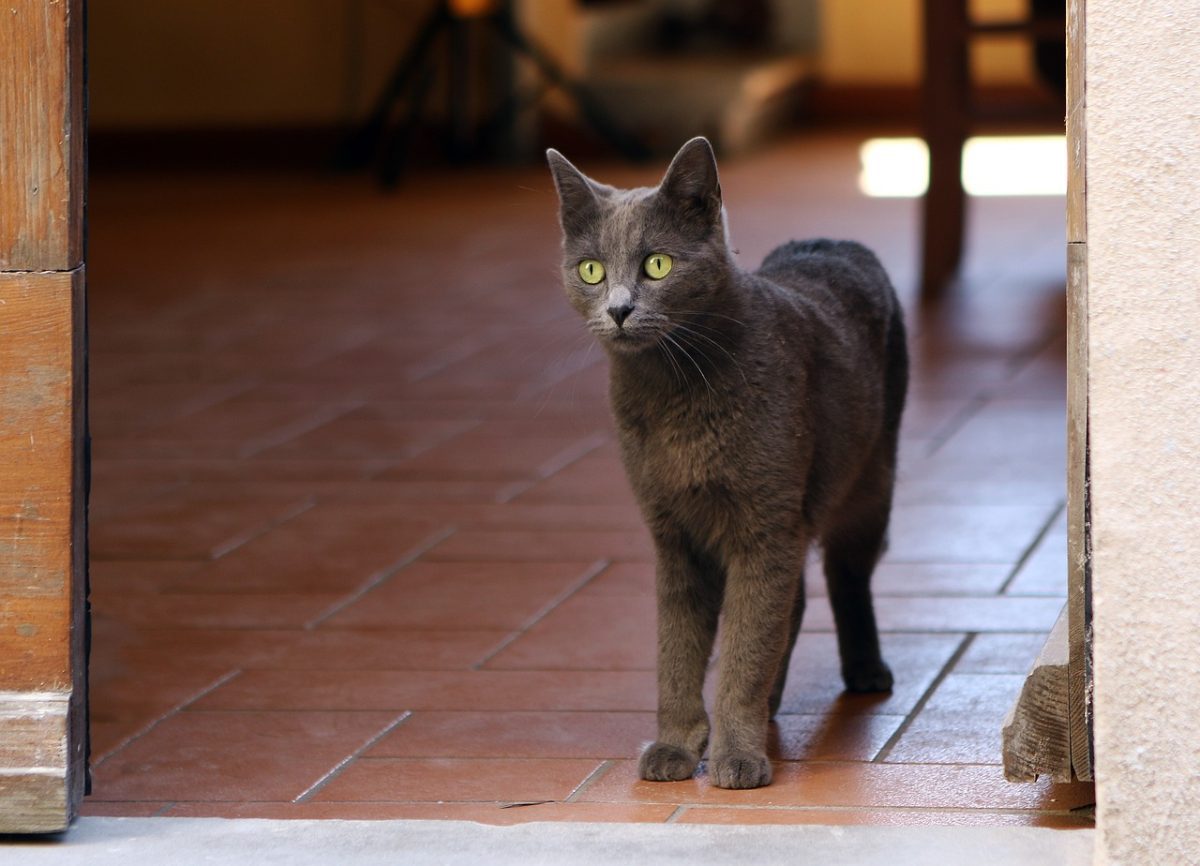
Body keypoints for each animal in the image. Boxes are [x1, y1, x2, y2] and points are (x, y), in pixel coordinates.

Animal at [547, 136, 907, 791]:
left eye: (657, 265)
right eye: (591, 270)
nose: (619, 308)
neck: (673, 394)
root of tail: (832, 239)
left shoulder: (765, 526)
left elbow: (745, 645)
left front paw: (737, 755)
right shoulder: (672, 534)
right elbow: (677, 650)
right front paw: (676, 745)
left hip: (870, 481)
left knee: (844, 574)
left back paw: (865, 673)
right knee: (795, 602)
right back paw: (772, 702)